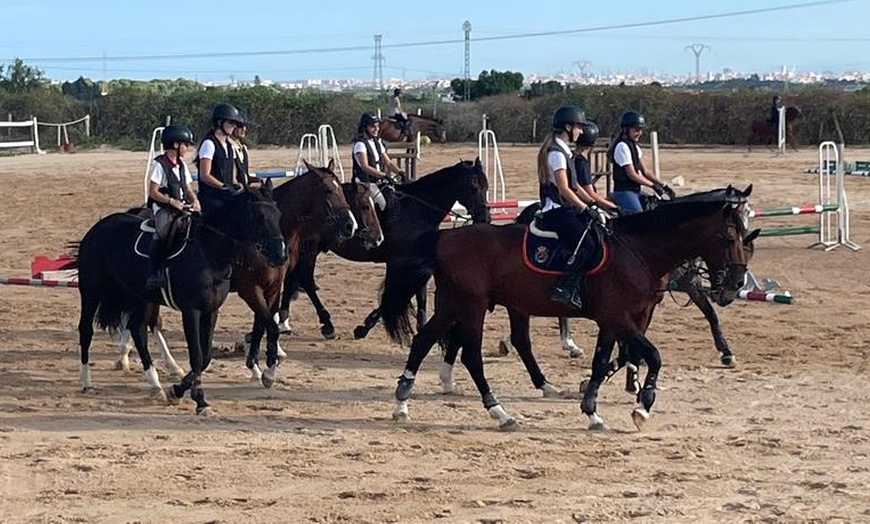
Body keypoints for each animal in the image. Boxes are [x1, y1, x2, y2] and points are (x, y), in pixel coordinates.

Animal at [69, 186, 286, 416]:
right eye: (260, 216)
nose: (280, 254)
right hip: (91, 292)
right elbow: (197, 356)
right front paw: (197, 399)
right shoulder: (192, 311)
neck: (208, 252)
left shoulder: (212, 311)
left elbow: (205, 357)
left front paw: (180, 391)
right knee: (86, 331)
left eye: (278, 215)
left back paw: (155, 384)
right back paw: (87, 382)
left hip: (140, 297)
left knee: (138, 330)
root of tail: (97, 228)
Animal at [282, 160, 494, 340]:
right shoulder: (397, 262)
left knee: (294, 278)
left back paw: (285, 321)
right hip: (310, 249)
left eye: (486, 187)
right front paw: (363, 328)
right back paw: (326, 324)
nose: (485, 218)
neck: (415, 210)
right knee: (305, 279)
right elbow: (391, 294)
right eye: (474, 188)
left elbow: (419, 295)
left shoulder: (418, 262)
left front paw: (421, 326)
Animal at [382, 186, 756, 432]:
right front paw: (643, 405)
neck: (638, 250)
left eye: (746, 237)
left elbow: (606, 359)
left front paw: (593, 409)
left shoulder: (621, 319)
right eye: (728, 238)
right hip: (472, 305)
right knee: (472, 355)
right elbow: (653, 355)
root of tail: (447, 238)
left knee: (424, 339)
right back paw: (499, 412)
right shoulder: (619, 317)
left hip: (454, 303)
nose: (736, 283)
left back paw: (402, 402)